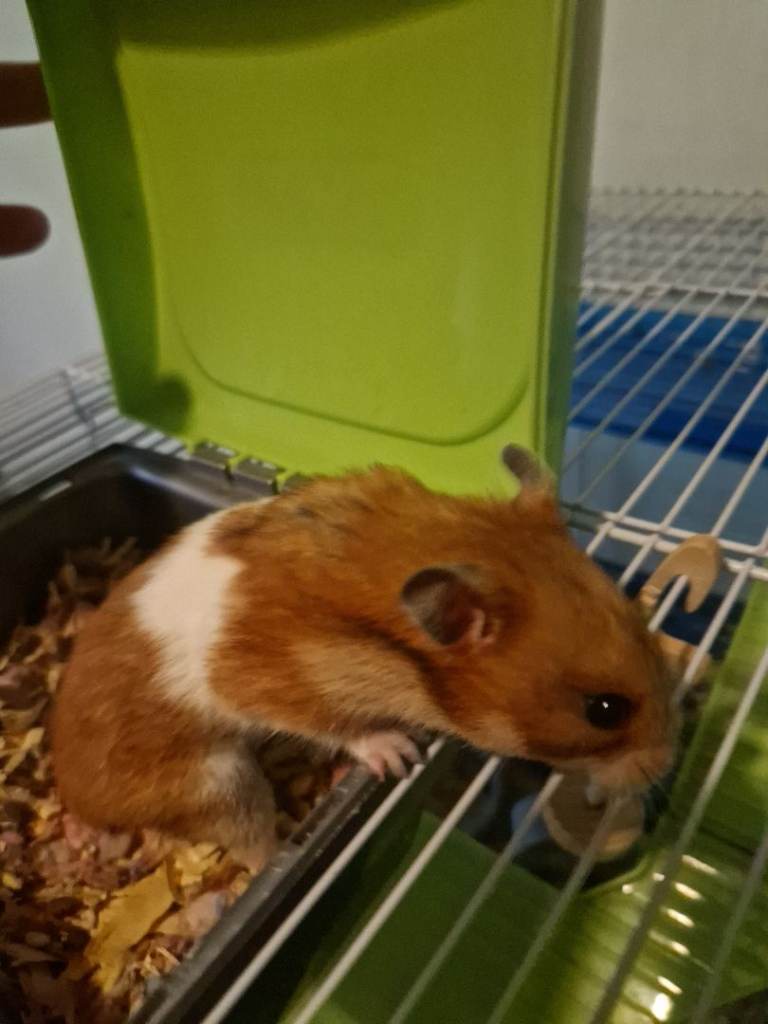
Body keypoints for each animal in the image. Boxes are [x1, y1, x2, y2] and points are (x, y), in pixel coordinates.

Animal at [51, 446, 676, 868]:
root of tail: (73, 796)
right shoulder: (271, 680)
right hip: (217, 781)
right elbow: (340, 724)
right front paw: (398, 753)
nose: (665, 767)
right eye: (603, 710)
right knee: (252, 846)